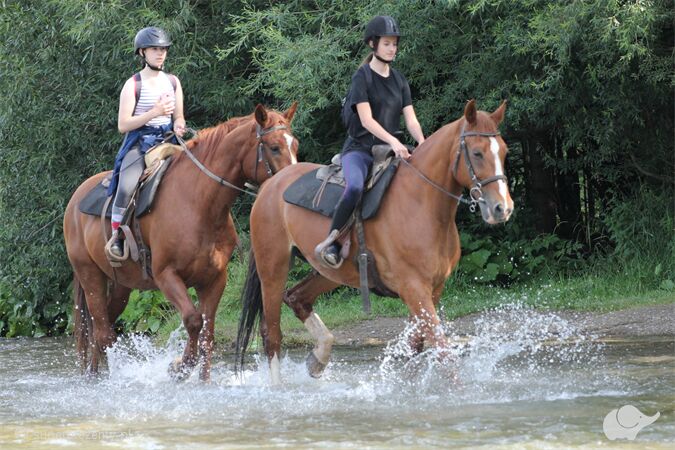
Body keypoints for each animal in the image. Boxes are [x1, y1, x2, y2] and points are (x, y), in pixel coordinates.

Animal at [64, 103, 298, 380]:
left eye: (295, 144)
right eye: (274, 147)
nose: (288, 185)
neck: (199, 203)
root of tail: (75, 198)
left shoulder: (214, 279)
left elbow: (207, 334)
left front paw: (201, 379)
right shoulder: (167, 276)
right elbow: (193, 321)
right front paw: (180, 366)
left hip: (121, 285)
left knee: (104, 327)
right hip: (89, 275)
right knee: (102, 331)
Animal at [238, 101, 512, 384]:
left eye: (504, 152)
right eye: (477, 153)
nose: (502, 208)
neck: (421, 203)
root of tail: (270, 184)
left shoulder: (432, 290)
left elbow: (414, 345)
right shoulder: (414, 289)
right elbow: (442, 351)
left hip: (329, 271)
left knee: (296, 298)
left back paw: (318, 359)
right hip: (273, 268)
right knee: (272, 334)